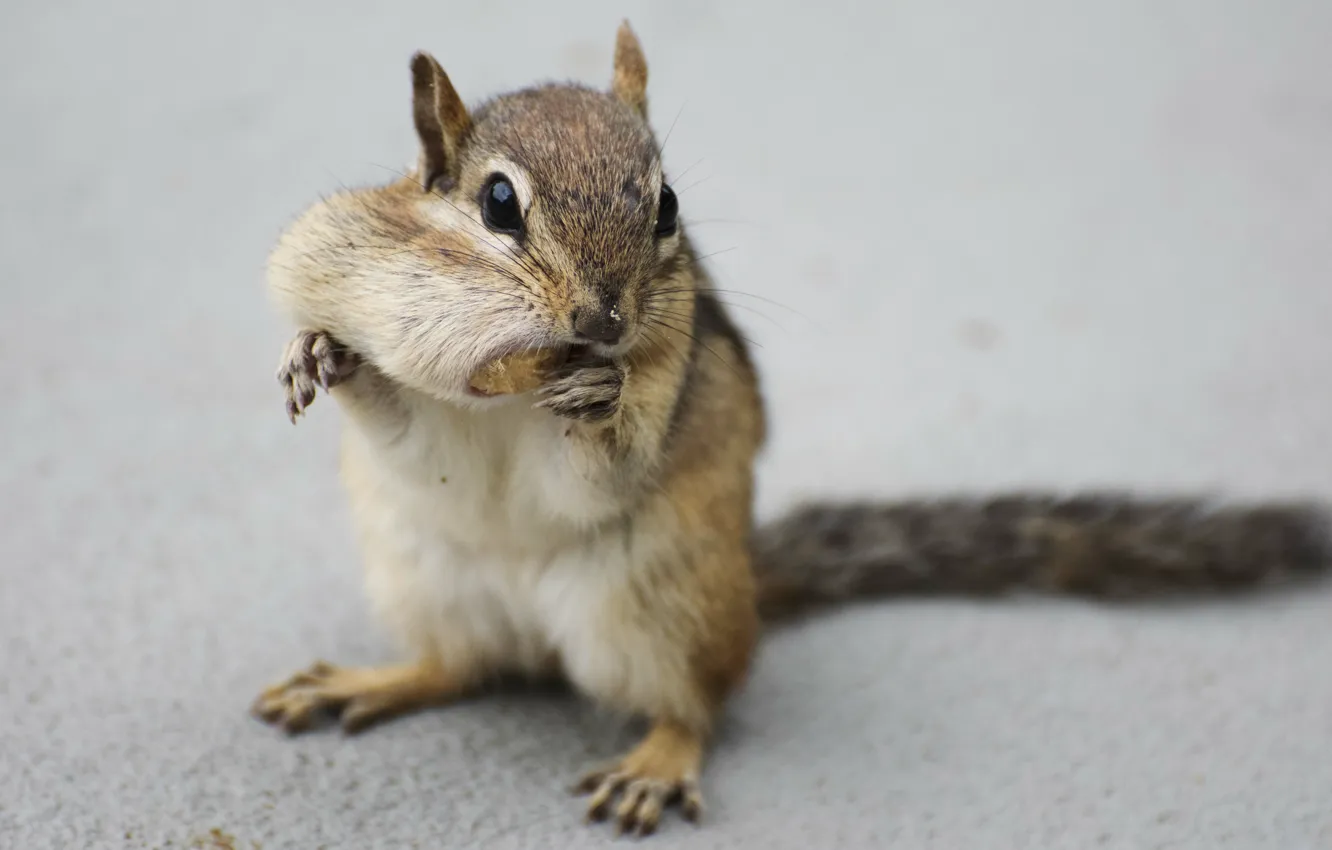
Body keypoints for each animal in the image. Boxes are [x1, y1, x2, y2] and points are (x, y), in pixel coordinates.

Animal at [251, 20, 1332, 836]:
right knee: (459, 664)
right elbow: (400, 416)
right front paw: (322, 353)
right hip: (424, 573)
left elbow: (596, 475)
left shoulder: (666, 381)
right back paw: (369, 680)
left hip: (660, 599)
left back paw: (658, 756)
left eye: (668, 205)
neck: (510, 376)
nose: (603, 321)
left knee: (696, 699)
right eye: (499, 201)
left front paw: (597, 407)